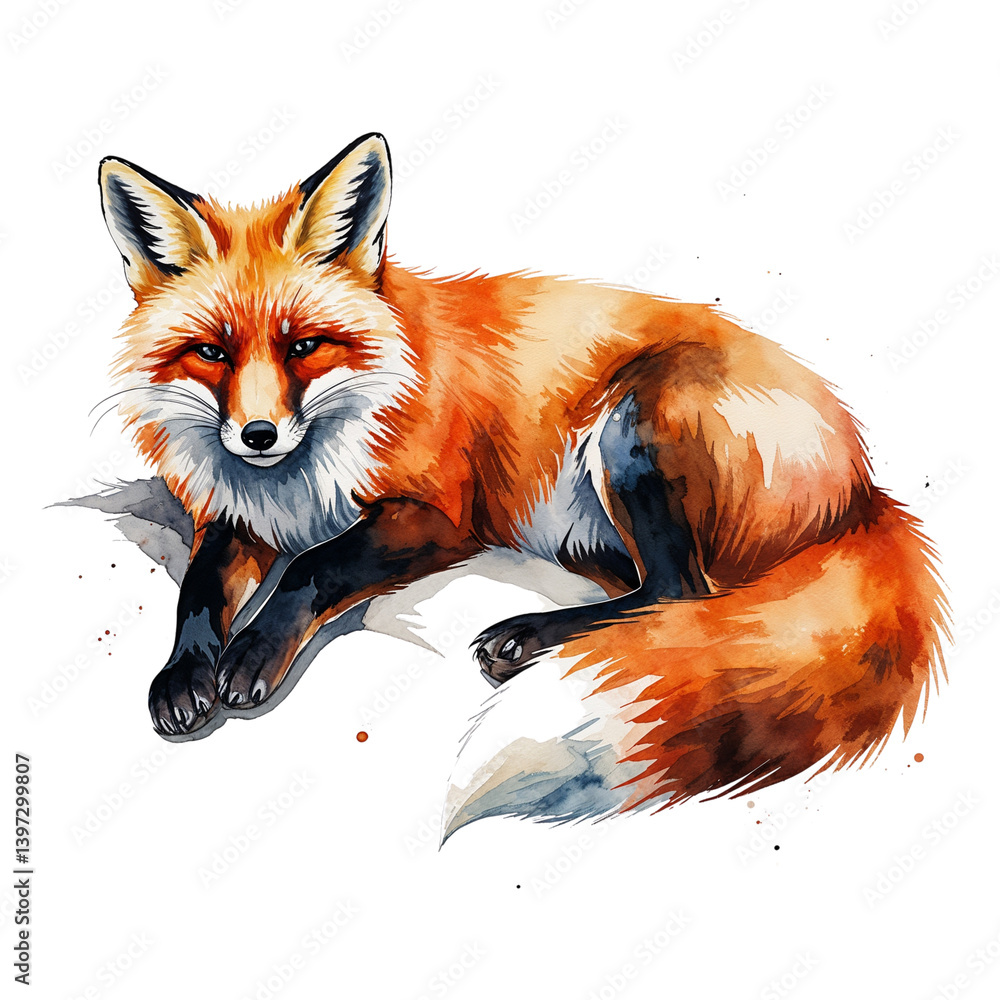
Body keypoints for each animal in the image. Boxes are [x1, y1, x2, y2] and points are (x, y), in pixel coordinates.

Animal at [96, 132, 948, 816]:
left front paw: (250, 654)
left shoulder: (439, 515)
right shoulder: (234, 518)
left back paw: (527, 637)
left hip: (634, 427)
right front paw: (184, 673)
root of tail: (865, 485)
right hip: (589, 529)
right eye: (212, 352)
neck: (302, 479)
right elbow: (198, 590)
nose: (259, 435)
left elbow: (315, 565)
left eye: (304, 345)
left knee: (683, 593)